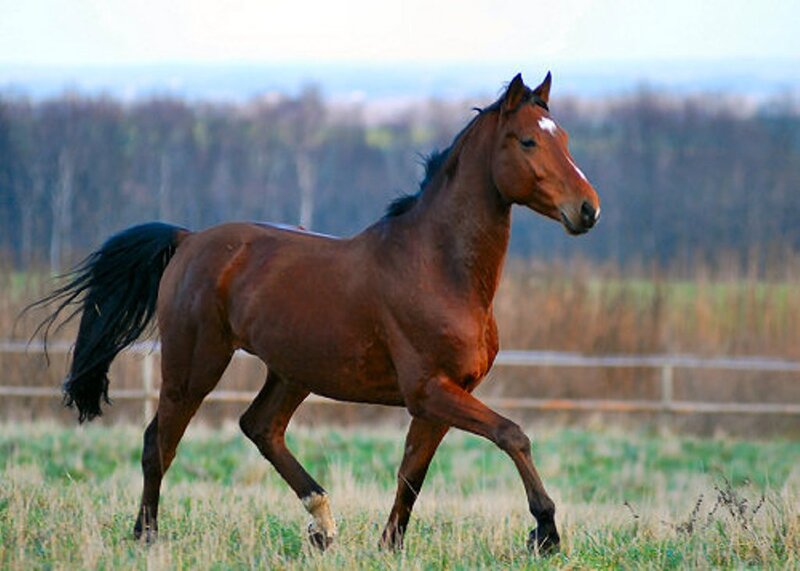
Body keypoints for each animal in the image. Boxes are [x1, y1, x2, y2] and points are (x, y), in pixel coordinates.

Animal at [32, 72, 600, 554]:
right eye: (527, 141)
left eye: (566, 139)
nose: (588, 210)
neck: (437, 268)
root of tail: (190, 240)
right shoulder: (430, 390)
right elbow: (512, 434)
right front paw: (545, 532)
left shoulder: (440, 399)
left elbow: (411, 474)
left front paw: (389, 547)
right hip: (194, 365)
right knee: (160, 443)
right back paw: (147, 537)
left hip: (291, 371)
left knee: (259, 427)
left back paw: (322, 525)